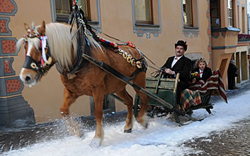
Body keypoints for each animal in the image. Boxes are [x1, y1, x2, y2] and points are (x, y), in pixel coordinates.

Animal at [16, 20, 149, 146]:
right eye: (25, 46)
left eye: (40, 48)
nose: (25, 76)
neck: (80, 57)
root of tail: (135, 49)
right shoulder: (72, 91)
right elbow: (63, 110)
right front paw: (77, 131)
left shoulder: (98, 90)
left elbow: (98, 113)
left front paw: (97, 138)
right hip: (118, 86)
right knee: (129, 100)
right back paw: (128, 126)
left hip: (138, 82)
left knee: (144, 97)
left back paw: (142, 119)